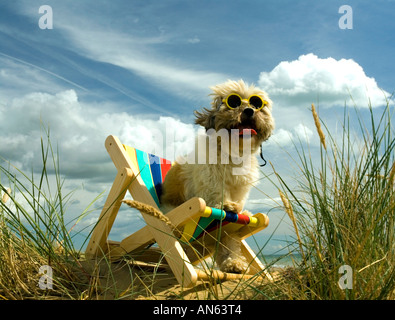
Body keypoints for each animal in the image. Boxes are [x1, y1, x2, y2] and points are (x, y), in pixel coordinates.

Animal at [161, 79, 276, 272]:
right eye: (234, 102)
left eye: (256, 104)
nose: (249, 110)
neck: (234, 151)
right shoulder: (211, 178)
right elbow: (216, 192)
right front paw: (226, 205)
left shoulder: (239, 190)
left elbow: (229, 236)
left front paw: (233, 261)